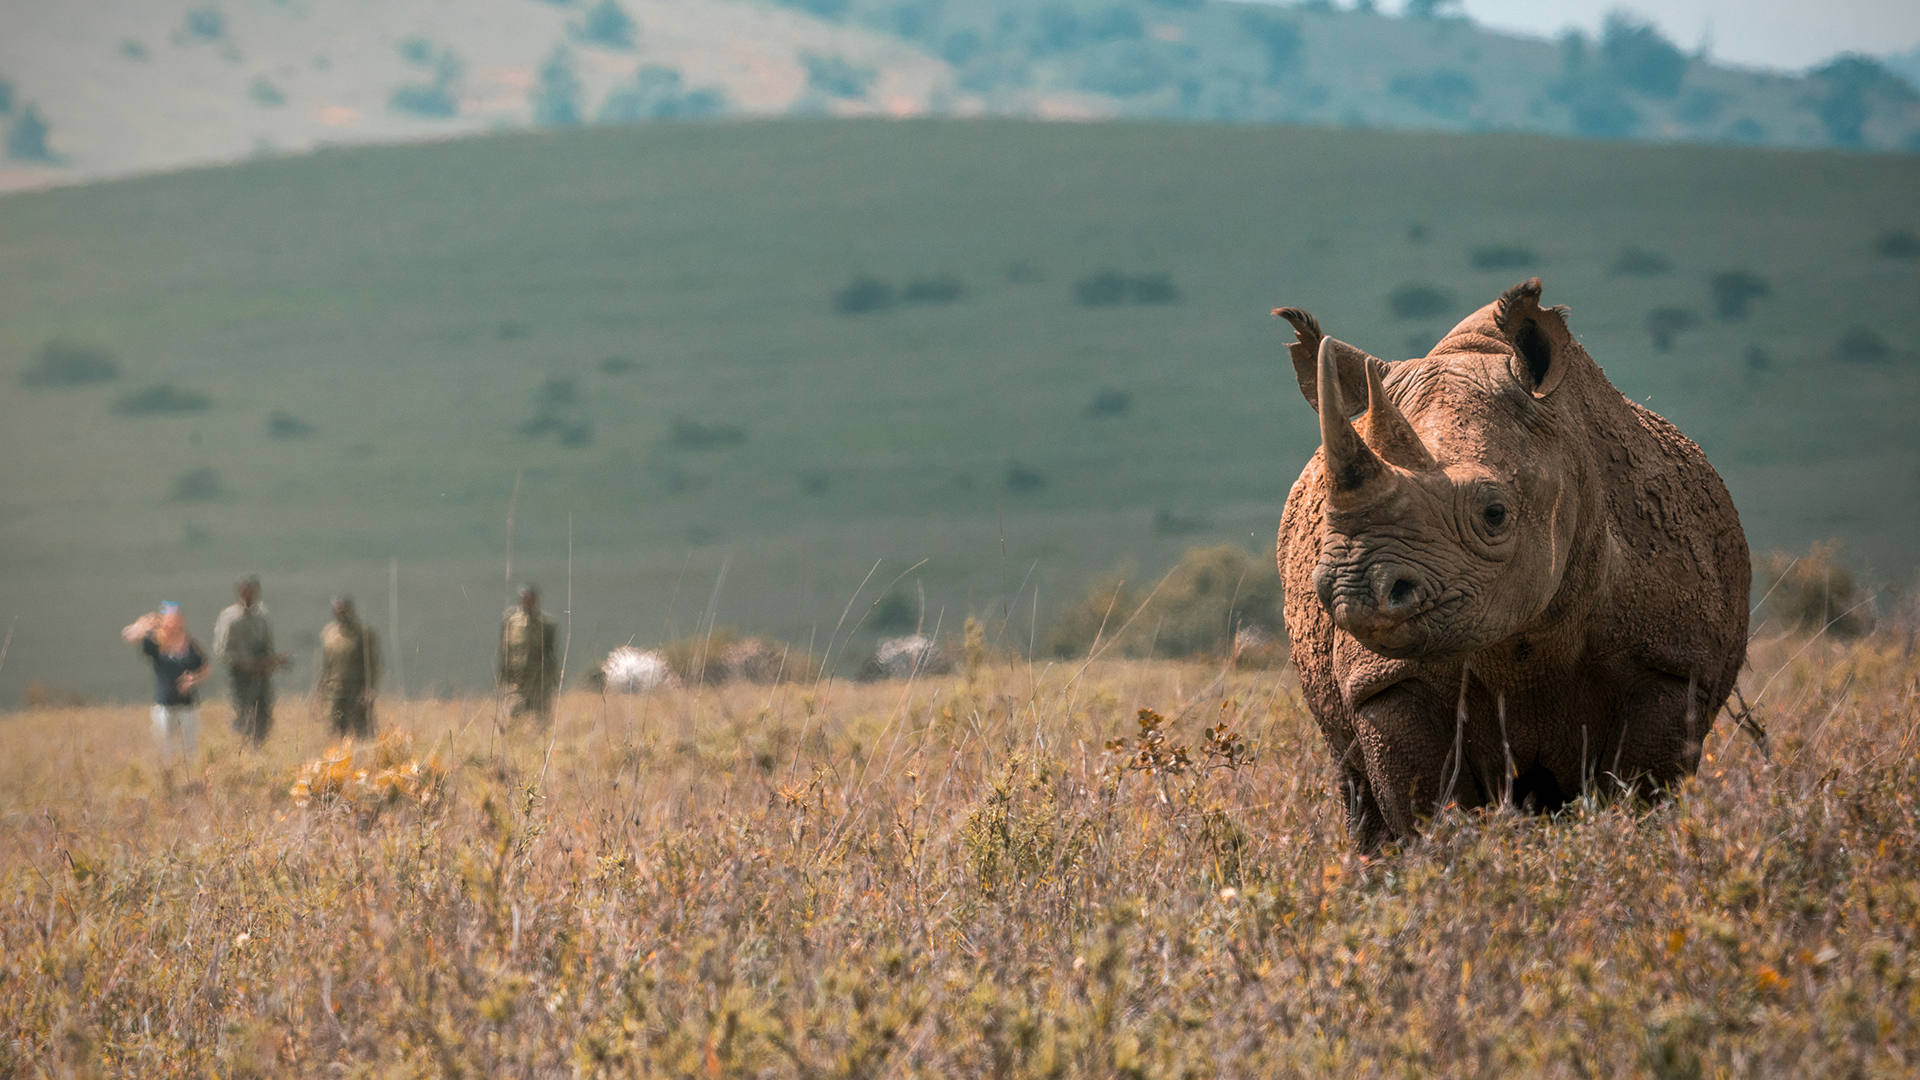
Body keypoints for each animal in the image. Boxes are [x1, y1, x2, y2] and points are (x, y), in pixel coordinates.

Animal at [1274, 279, 1749, 851]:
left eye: (1494, 514)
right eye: (1323, 516)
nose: (1355, 592)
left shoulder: (1673, 664)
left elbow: (1643, 795)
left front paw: (1632, 851)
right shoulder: (1384, 680)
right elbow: (1425, 808)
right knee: (1354, 781)